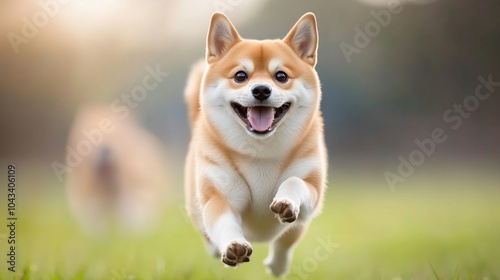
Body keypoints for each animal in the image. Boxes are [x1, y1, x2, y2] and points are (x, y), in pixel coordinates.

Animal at [185, 12, 328, 276]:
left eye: (281, 76)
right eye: (240, 76)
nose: (261, 89)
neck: (261, 154)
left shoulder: (311, 186)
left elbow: (294, 182)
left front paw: (286, 201)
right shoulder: (220, 196)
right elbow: (224, 223)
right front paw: (233, 245)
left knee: (285, 242)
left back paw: (278, 265)